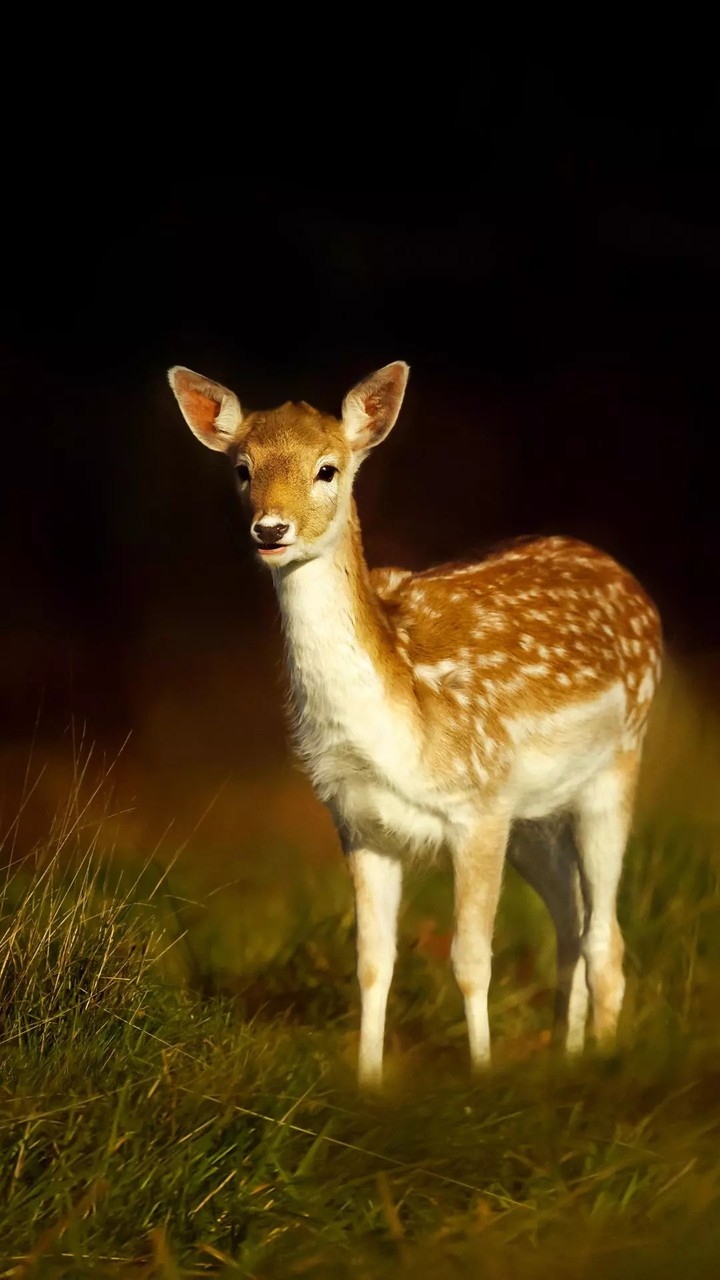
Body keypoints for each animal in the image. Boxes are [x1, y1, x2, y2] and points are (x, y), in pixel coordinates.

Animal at [167, 361, 662, 1089]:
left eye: (328, 469)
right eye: (241, 469)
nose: (271, 530)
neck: (399, 725)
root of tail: (632, 586)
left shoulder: (478, 805)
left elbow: (470, 959)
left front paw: (480, 1078)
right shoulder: (361, 822)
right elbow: (373, 962)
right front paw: (368, 1084)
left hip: (617, 764)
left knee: (605, 935)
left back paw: (601, 1061)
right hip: (535, 817)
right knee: (572, 922)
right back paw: (564, 1055)